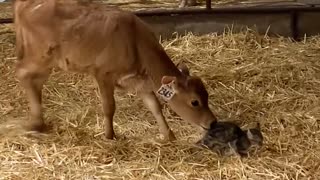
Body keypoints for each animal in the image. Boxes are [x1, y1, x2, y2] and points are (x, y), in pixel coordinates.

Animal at [13, 0, 218, 141]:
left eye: (207, 95)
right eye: (194, 102)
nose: (212, 122)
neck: (134, 41)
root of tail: (23, 4)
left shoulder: (139, 82)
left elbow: (155, 107)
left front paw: (169, 135)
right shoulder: (103, 74)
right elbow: (109, 107)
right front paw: (109, 135)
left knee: (35, 82)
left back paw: (38, 121)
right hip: (40, 56)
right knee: (22, 73)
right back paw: (36, 123)